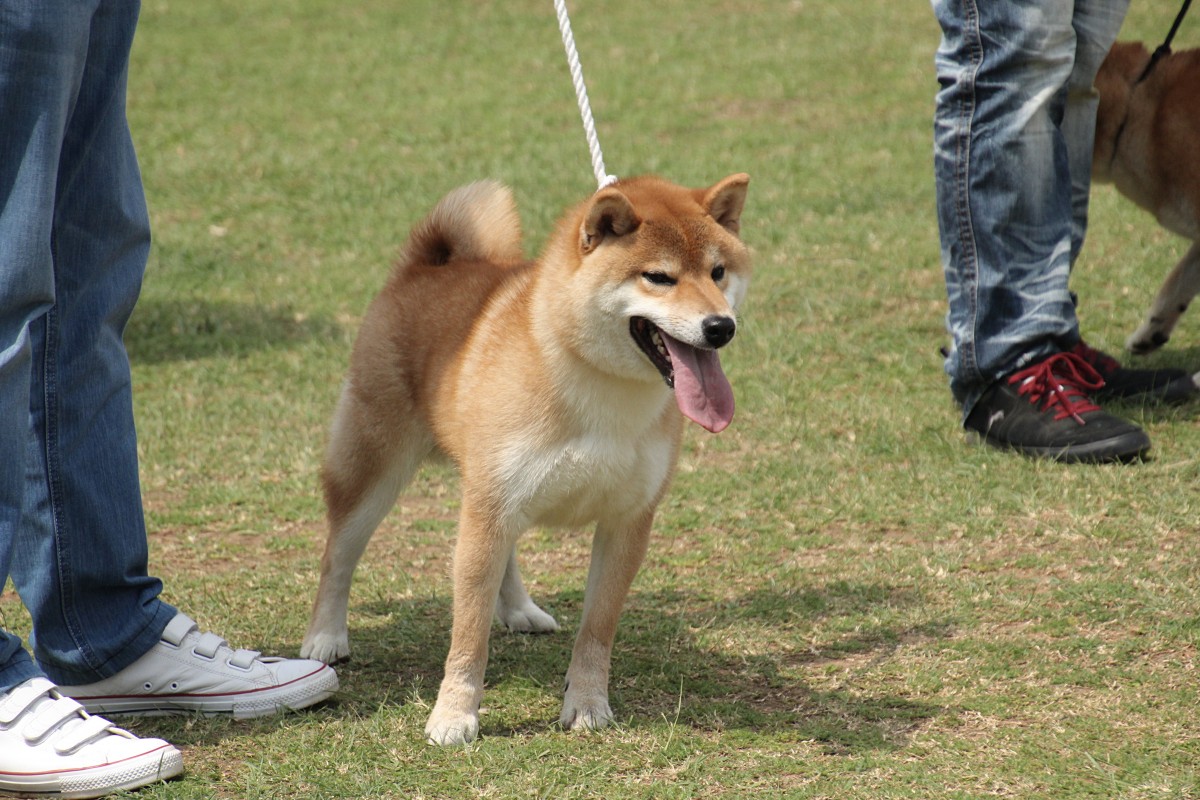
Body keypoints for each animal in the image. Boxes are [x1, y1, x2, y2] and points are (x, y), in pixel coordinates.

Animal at [300, 173, 748, 743]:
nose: (721, 327)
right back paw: (325, 636)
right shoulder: (488, 510)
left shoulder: (627, 520)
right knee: (339, 553)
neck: (598, 388)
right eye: (659, 277)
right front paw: (454, 715)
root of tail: (428, 265)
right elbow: (468, 635)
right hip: (375, 467)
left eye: (717, 272)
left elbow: (597, 631)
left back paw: (517, 608)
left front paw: (587, 704)